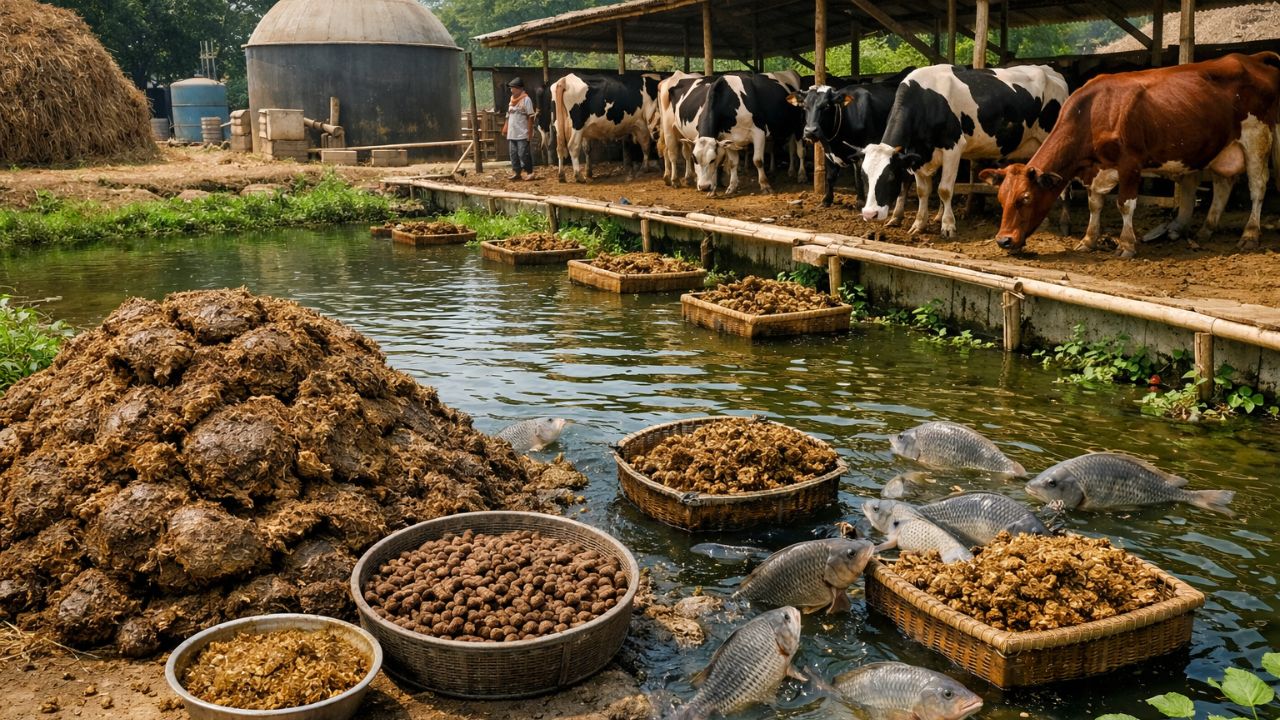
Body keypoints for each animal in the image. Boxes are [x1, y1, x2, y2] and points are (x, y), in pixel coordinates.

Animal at [786, 67, 914, 208]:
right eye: (804, 106)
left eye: (826, 106)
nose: (810, 131)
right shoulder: (828, 153)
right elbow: (830, 176)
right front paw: (826, 200)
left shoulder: (861, 153)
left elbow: (859, 177)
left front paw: (861, 201)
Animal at [858, 64, 1069, 238]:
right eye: (864, 176)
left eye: (891, 177)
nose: (869, 214)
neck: (927, 100)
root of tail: (1049, 70)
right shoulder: (917, 155)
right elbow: (922, 191)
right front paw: (919, 224)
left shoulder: (953, 147)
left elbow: (944, 189)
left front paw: (948, 226)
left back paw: (1063, 223)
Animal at [981, 52, 1280, 258]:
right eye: (1001, 198)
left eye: (1025, 198)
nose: (1003, 241)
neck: (1093, 111)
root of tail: (1250, 58)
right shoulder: (1096, 168)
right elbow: (1095, 204)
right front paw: (1088, 240)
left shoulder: (1130, 165)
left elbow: (1125, 204)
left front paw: (1126, 244)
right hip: (1223, 147)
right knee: (1223, 184)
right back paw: (1206, 229)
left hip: (1257, 137)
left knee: (1258, 187)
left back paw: (1250, 235)